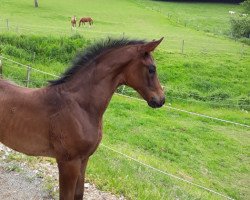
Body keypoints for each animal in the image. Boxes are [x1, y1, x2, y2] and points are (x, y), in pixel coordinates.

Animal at [0, 37, 166, 198]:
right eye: (152, 69)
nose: (161, 100)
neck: (80, 106)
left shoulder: (84, 159)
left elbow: (79, 193)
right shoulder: (68, 163)